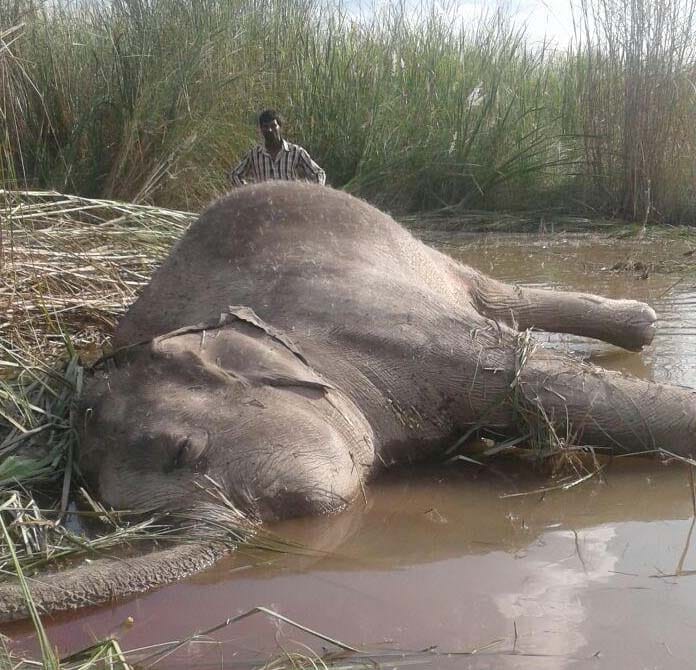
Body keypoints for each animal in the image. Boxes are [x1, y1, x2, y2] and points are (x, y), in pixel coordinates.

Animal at [1, 181, 694, 623]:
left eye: (183, 450)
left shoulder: (388, 329)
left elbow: (540, 380)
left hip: (411, 247)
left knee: (499, 297)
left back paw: (642, 325)